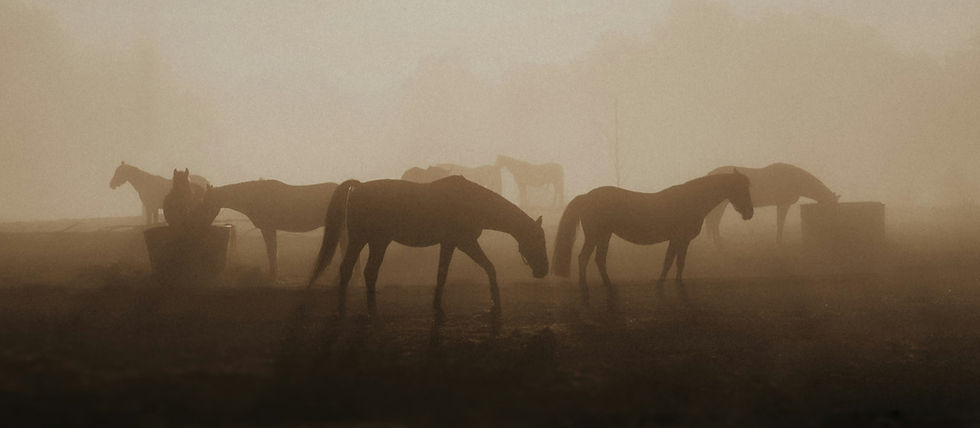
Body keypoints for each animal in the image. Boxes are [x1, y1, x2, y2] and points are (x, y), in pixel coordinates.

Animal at [202, 179, 340, 280]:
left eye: (207, 201)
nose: (202, 220)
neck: (256, 198)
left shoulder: (268, 228)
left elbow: (271, 251)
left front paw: (273, 275)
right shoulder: (270, 229)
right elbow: (273, 250)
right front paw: (274, 273)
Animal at [308, 176, 548, 325]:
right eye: (538, 240)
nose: (544, 270)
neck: (472, 203)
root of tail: (358, 187)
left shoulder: (450, 243)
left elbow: (442, 274)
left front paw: (438, 308)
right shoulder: (465, 242)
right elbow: (489, 267)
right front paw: (495, 305)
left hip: (375, 241)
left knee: (364, 271)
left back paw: (366, 310)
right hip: (364, 240)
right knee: (353, 270)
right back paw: (353, 311)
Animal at [553, 171, 753, 306]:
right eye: (742, 188)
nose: (749, 213)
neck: (691, 200)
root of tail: (586, 197)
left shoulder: (681, 240)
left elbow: (675, 262)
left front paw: (672, 283)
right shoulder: (679, 239)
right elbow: (671, 261)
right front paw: (666, 284)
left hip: (604, 235)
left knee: (599, 259)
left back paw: (609, 285)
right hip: (595, 235)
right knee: (584, 258)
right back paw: (585, 288)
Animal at [704, 163, 839, 245]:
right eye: (831, 207)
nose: (833, 225)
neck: (795, 179)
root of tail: (711, 174)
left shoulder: (781, 204)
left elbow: (780, 223)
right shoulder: (783, 204)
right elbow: (780, 223)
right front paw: (779, 242)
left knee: (713, 222)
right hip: (721, 205)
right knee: (715, 222)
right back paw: (718, 244)